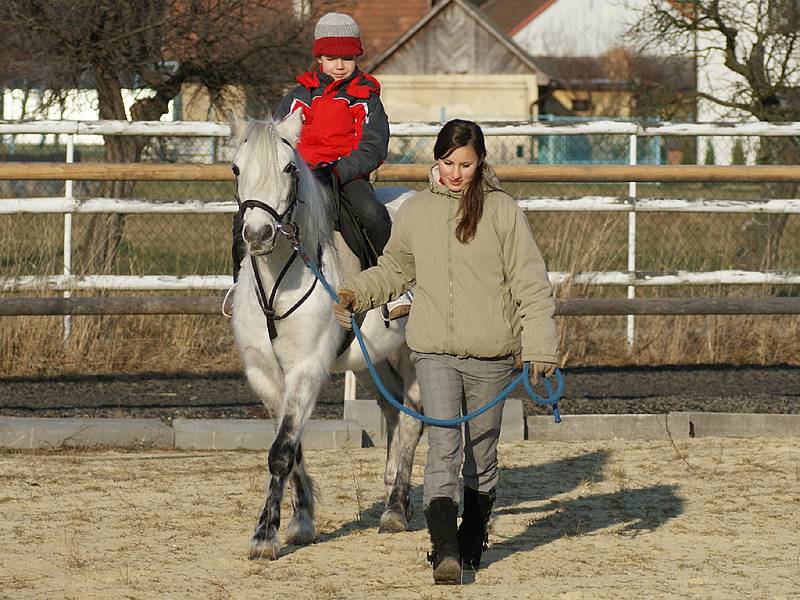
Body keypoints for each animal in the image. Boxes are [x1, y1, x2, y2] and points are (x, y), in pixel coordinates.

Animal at [230, 110, 424, 560]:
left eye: (289, 168)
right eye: (235, 169)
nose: (258, 235)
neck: (280, 281)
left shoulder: (307, 369)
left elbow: (281, 451)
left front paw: (265, 536)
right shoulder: (266, 376)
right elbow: (292, 446)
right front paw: (301, 522)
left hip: (414, 354)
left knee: (410, 418)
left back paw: (395, 510)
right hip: (372, 363)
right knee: (392, 412)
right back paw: (394, 494)